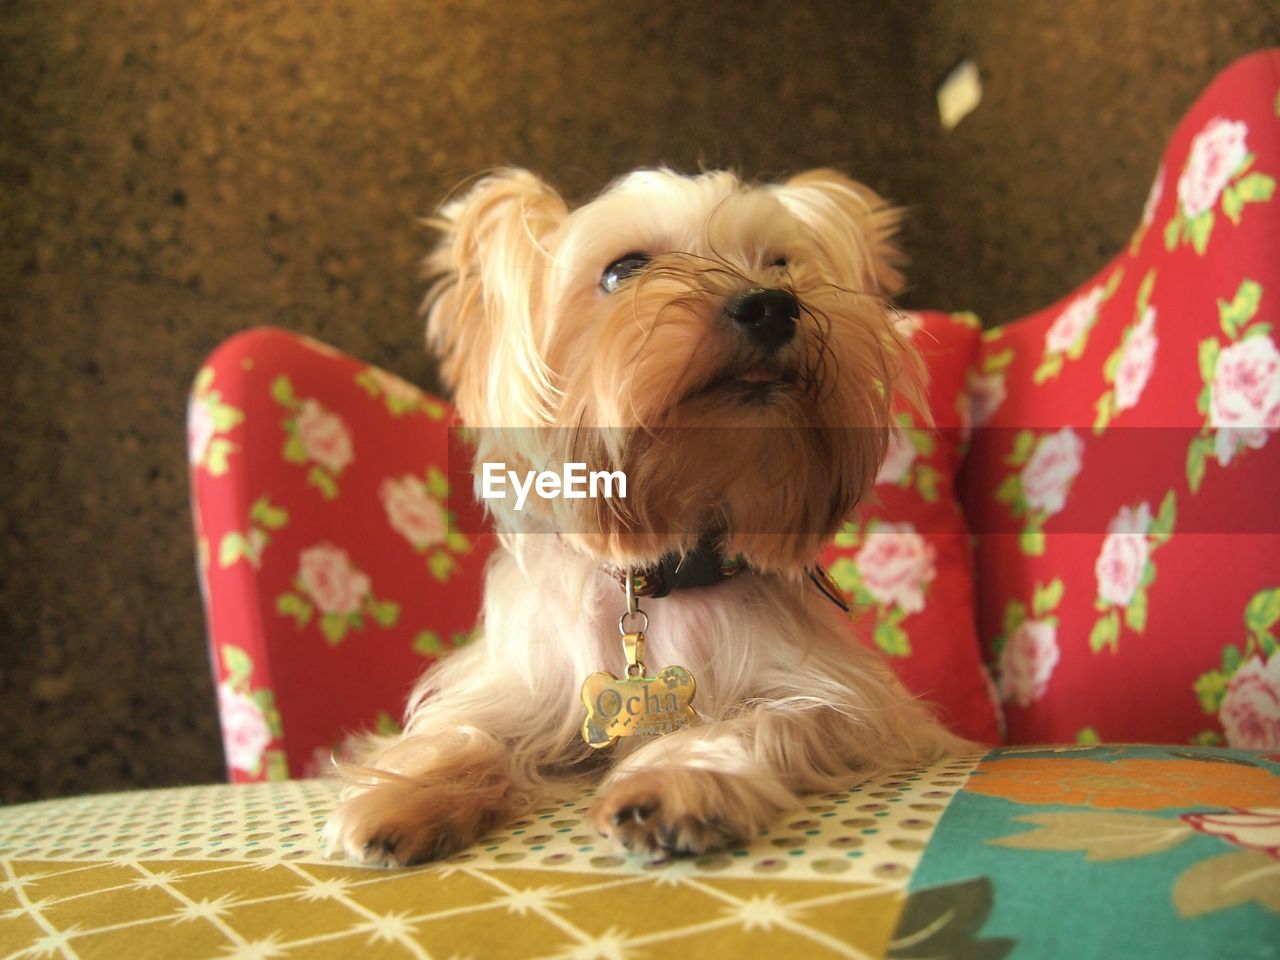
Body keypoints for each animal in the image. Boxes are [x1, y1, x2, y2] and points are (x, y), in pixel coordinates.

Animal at [325, 168, 972, 870]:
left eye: (782, 262)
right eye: (624, 269)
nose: (772, 304)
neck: (668, 563)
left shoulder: (853, 705)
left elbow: (768, 719)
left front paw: (671, 783)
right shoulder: (523, 684)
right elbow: (470, 728)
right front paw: (406, 794)